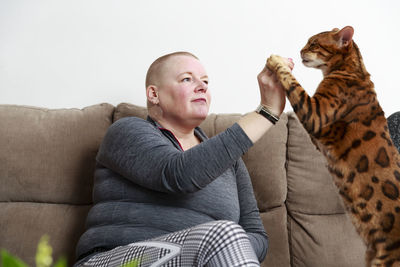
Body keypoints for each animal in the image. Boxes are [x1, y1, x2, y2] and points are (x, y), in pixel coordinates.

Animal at [268, 25, 400, 267]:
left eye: (313, 43)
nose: (300, 51)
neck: (353, 70)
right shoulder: (318, 134)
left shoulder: (316, 113)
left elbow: (294, 84)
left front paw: (276, 61)